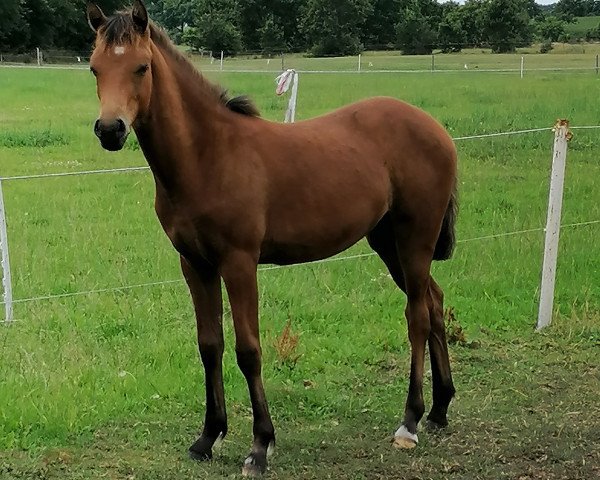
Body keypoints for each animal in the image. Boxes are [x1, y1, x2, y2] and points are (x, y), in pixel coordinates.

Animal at [85, 1, 460, 476]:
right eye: (95, 68)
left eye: (141, 66)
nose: (109, 130)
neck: (208, 155)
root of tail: (436, 129)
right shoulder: (195, 264)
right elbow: (209, 345)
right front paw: (207, 437)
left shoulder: (239, 262)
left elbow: (248, 350)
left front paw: (260, 445)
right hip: (388, 243)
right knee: (434, 301)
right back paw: (440, 409)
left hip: (414, 240)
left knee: (417, 316)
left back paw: (409, 421)